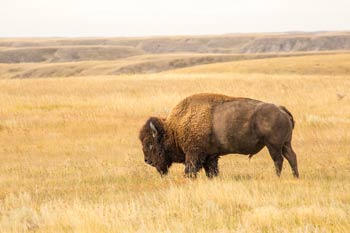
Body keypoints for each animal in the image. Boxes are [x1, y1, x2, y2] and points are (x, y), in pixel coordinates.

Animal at [139, 93, 298, 177]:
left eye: (150, 143)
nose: (147, 160)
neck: (174, 129)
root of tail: (281, 109)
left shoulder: (194, 155)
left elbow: (190, 170)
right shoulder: (211, 156)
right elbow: (212, 171)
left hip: (273, 145)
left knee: (278, 160)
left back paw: (277, 176)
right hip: (285, 144)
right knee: (291, 157)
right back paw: (295, 176)